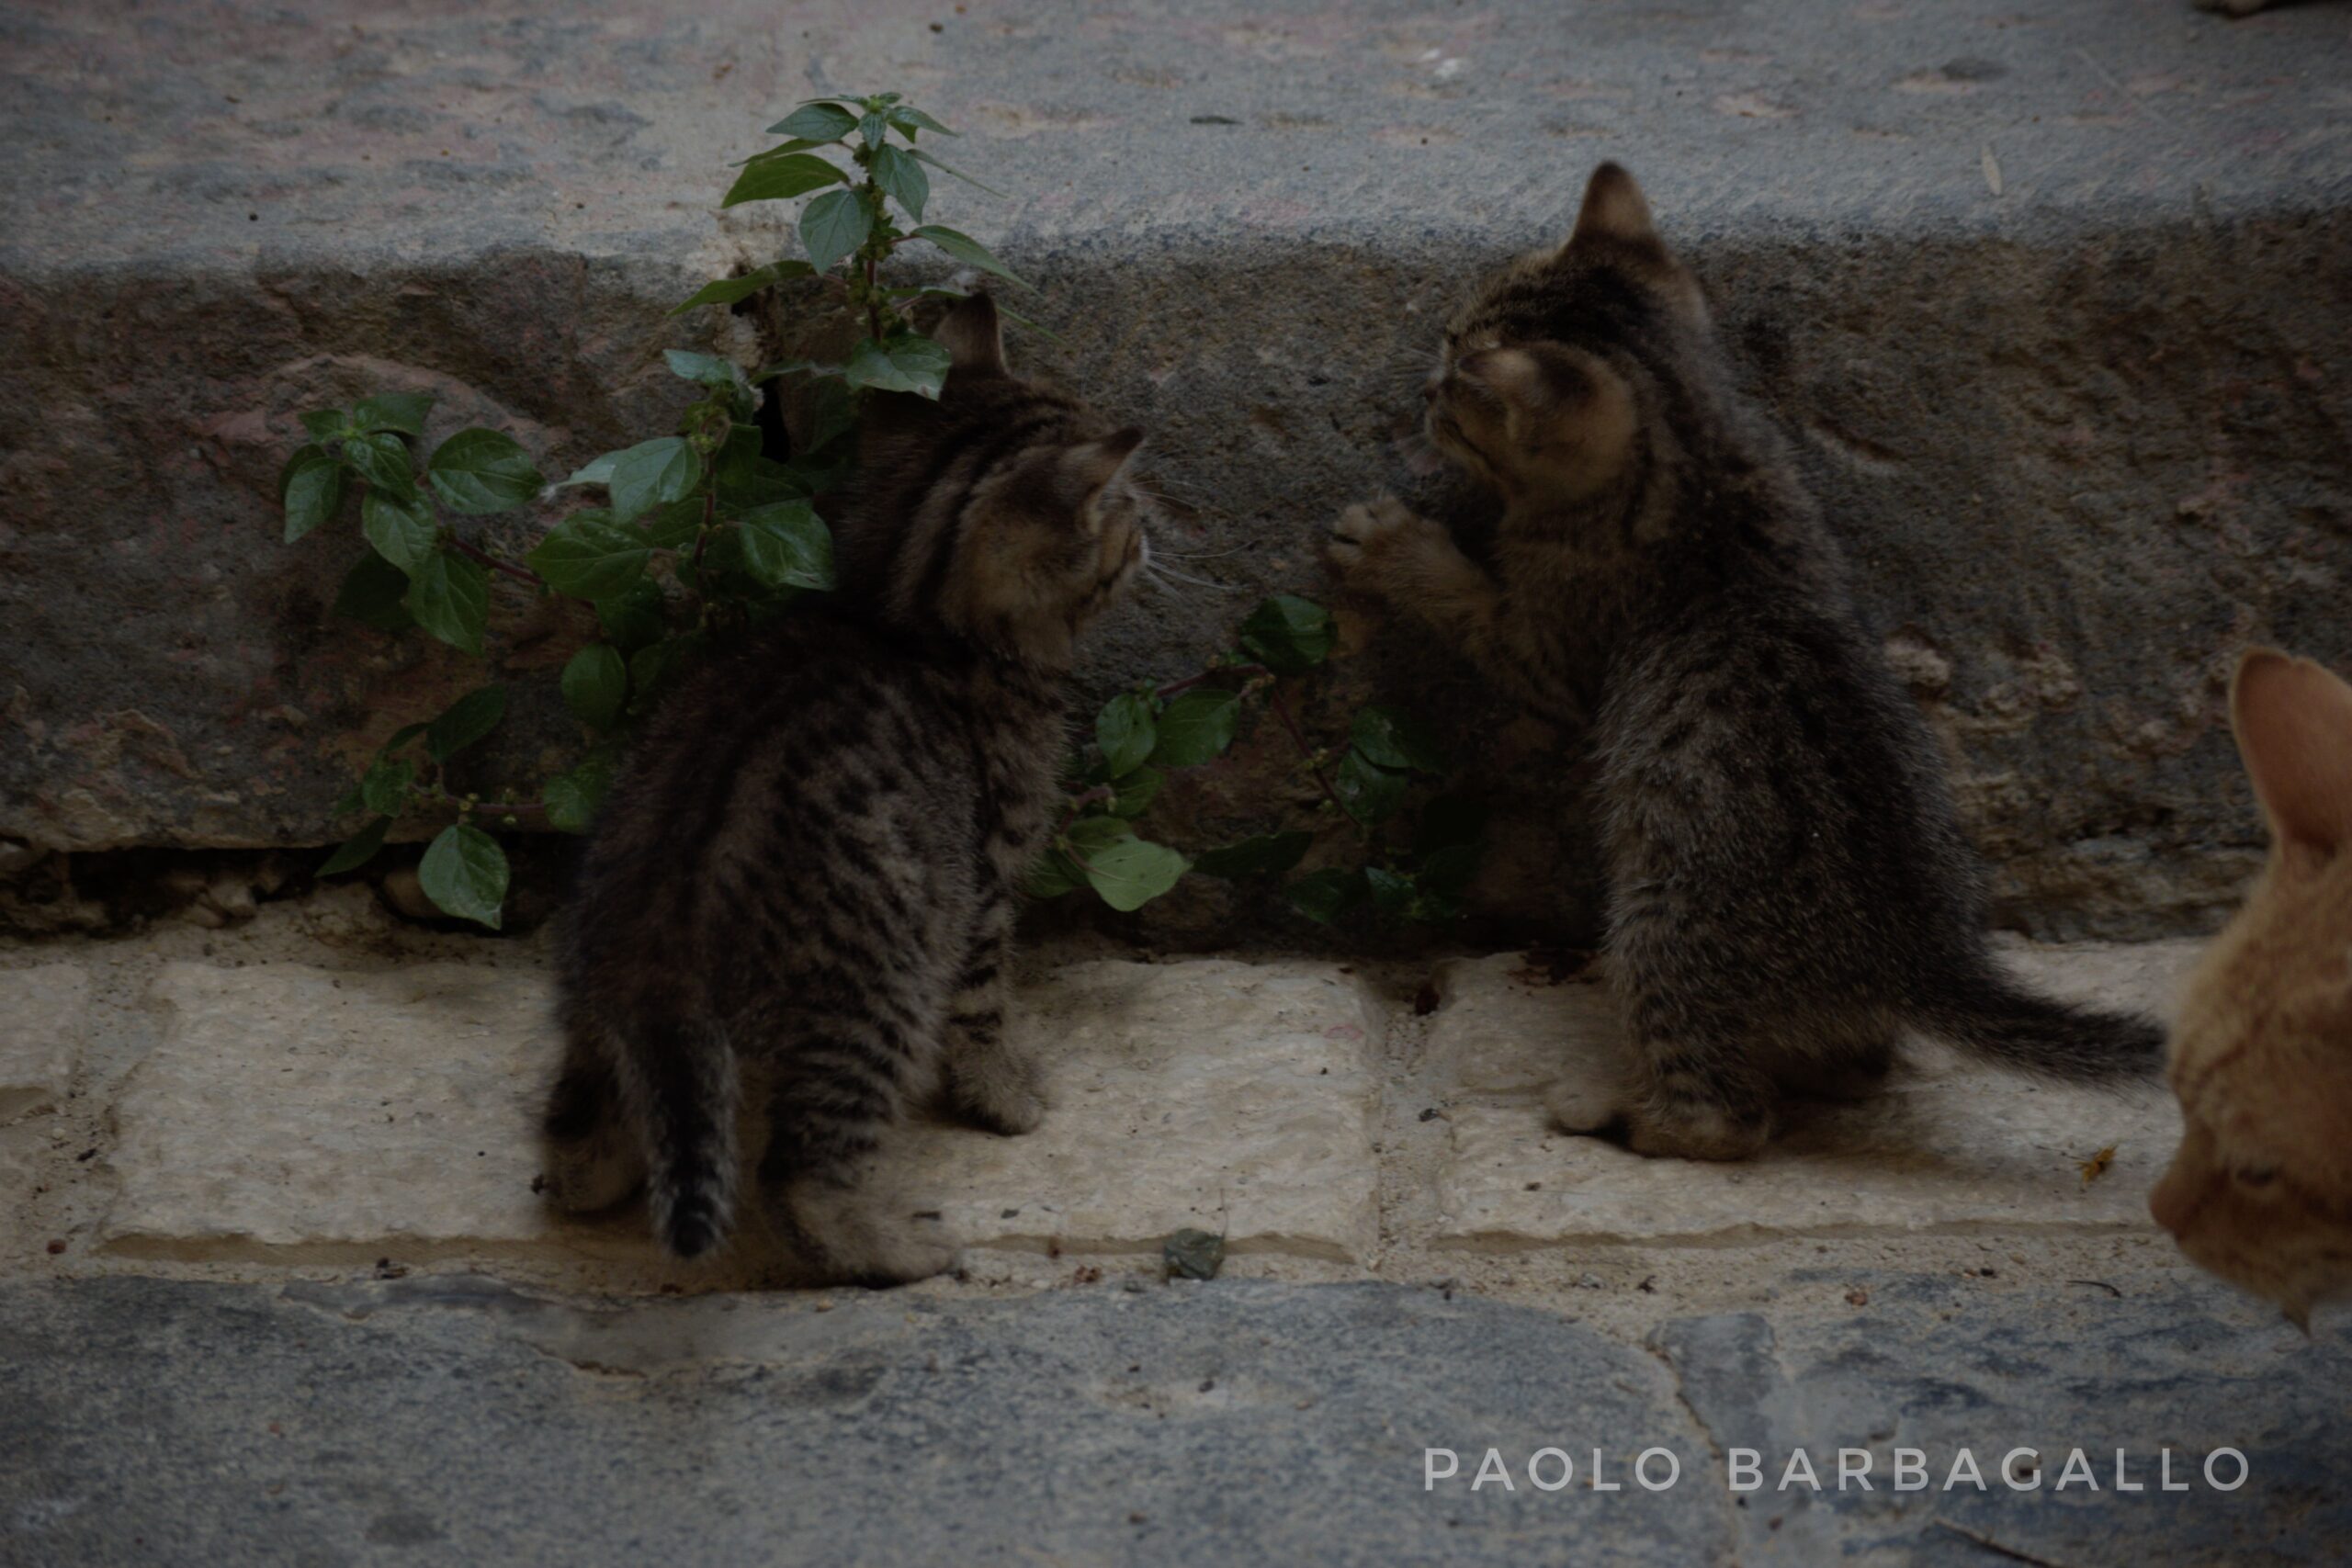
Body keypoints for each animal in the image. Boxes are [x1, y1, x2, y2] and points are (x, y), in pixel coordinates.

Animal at [540, 297, 1148, 1288]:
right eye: (1124, 514)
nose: (1150, 532)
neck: (902, 614)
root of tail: (655, 940)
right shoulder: (985, 877)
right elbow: (984, 1005)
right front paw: (1005, 1095)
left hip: (593, 987)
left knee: (579, 1122)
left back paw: (593, 1170)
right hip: (876, 992)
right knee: (798, 1176)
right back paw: (893, 1249)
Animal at [1336, 165, 2154, 1161]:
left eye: (1459, 381)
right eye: (1448, 342)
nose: (1423, 388)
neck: (1698, 463)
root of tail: (1919, 958)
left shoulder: (1557, 648)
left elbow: (1470, 603)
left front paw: (1393, 545)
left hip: (1658, 928)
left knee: (1725, 1119)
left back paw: (1611, 1111)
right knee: (1850, 1069)